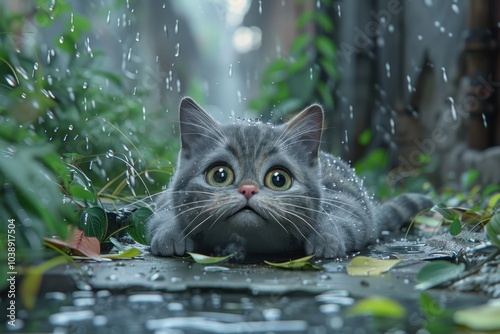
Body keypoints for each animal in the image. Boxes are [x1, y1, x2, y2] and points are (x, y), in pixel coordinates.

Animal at [146, 96, 432, 258]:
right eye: (220, 175)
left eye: (278, 179)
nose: (248, 190)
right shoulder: (164, 198)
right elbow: (164, 213)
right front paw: (170, 234)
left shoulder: (346, 200)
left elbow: (342, 219)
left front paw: (325, 238)